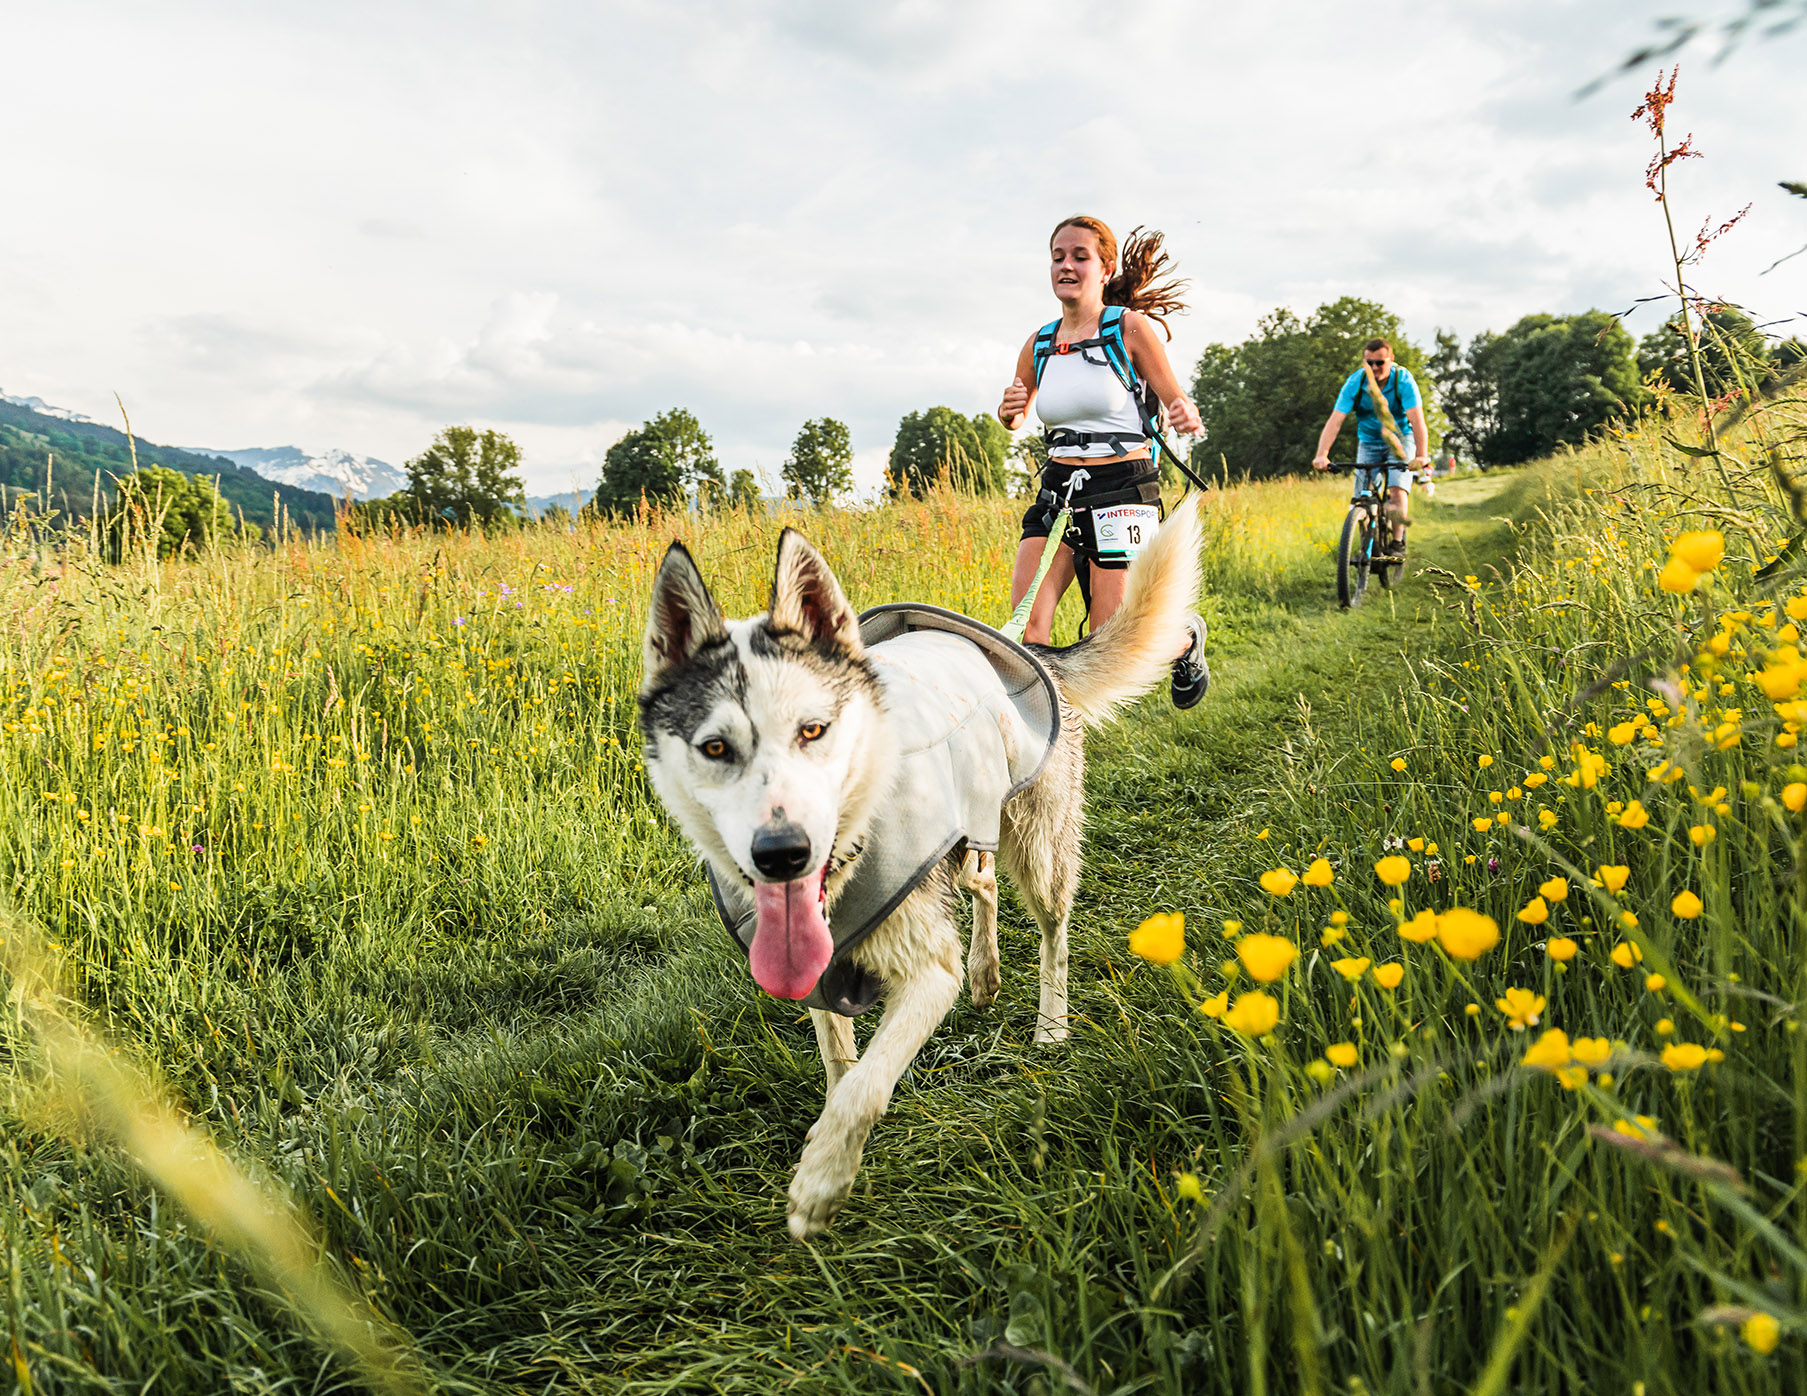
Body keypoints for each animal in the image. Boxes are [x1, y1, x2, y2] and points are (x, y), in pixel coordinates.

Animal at [636, 494, 1199, 1235]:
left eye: (813, 731)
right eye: (715, 748)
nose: (782, 854)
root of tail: (1029, 646)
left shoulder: (928, 974)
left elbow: (866, 1087)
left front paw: (820, 1182)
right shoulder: (812, 974)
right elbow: (841, 1064)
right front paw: (828, 1142)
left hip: (1038, 850)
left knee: (1051, 936)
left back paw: (1049, 1025)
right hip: (972, 826)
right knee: (981, 883)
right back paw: (986, 974)